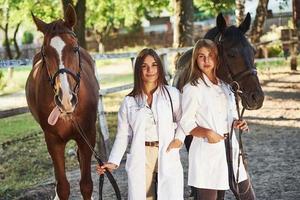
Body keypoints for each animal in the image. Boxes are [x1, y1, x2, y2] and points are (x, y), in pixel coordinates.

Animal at [25, 4, 98, 200]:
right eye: (45, 53)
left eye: (75, 48)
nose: (66, 99)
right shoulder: (53, 141)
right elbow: (63, 186)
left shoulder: (87, 136)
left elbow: (86, 185)